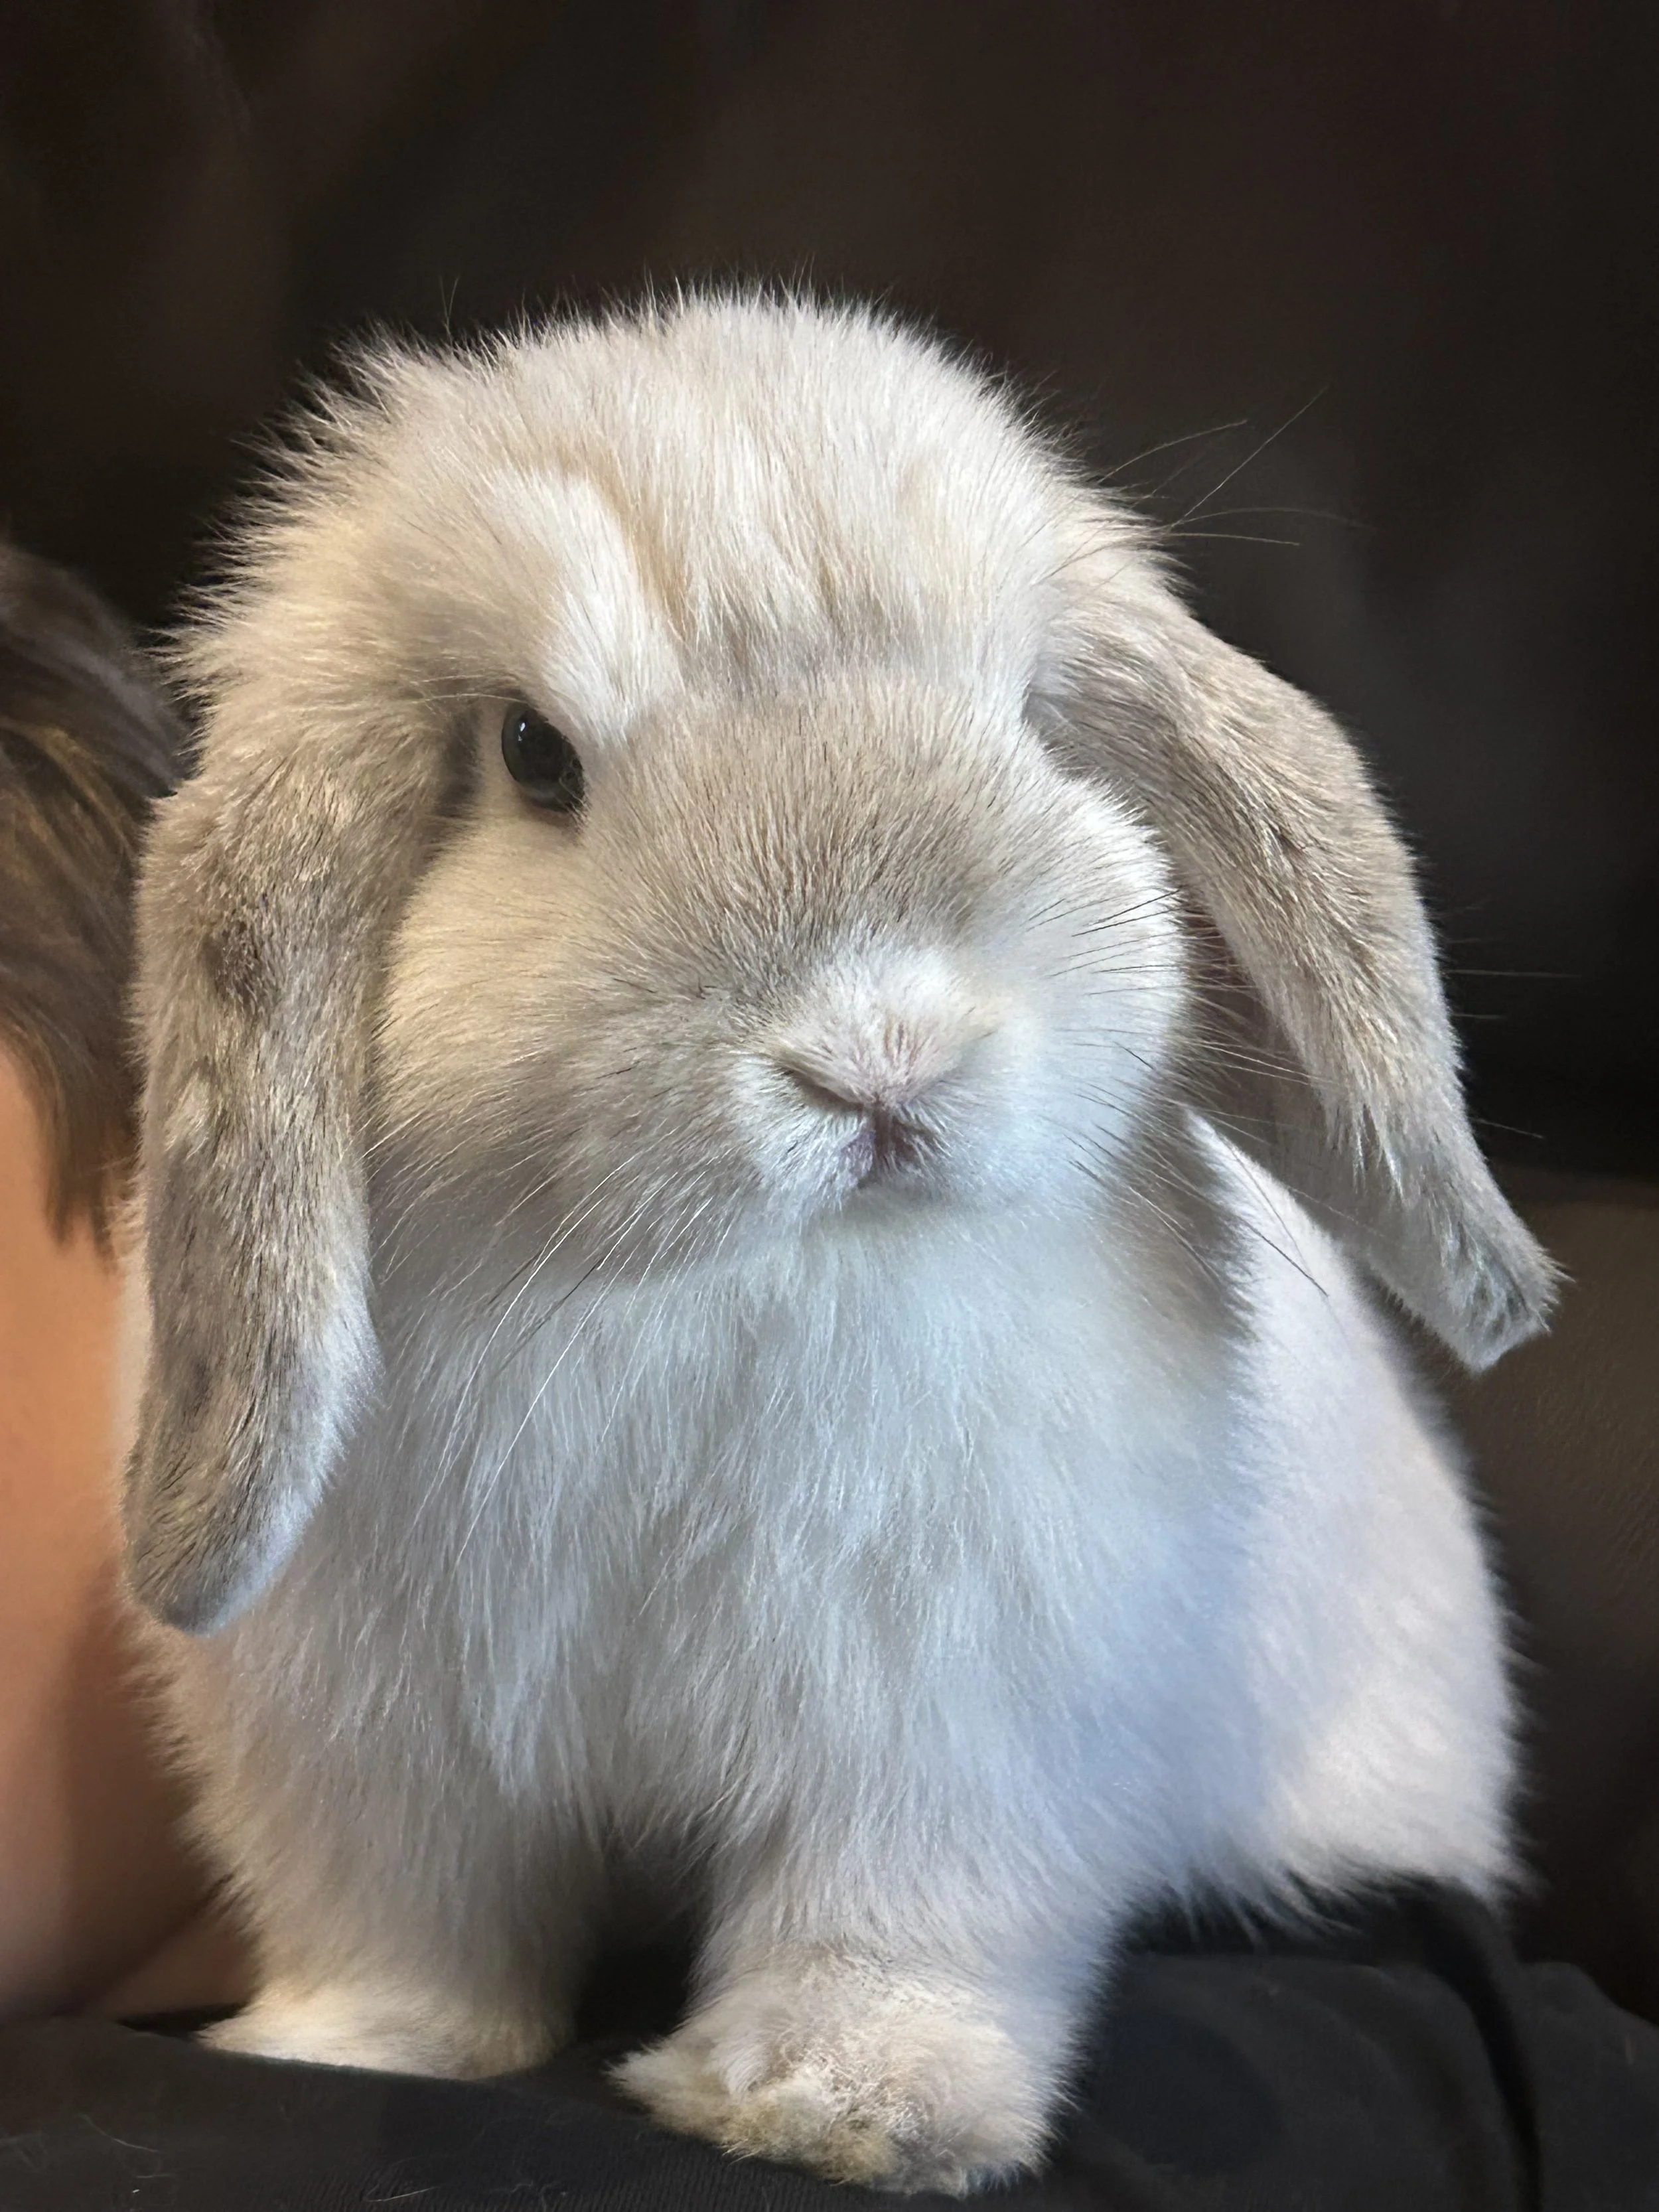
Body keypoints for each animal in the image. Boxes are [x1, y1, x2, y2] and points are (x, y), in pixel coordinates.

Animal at [123, 293, 1556, 2196]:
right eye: (531, 753)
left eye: (1027, 719)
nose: (878, 1058)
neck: (719, 1285)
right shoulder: (374, 1759)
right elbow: (407, 1933)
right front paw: (348, 2050)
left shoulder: (946, 1748)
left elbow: (886, 1932)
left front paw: (833, 2109)